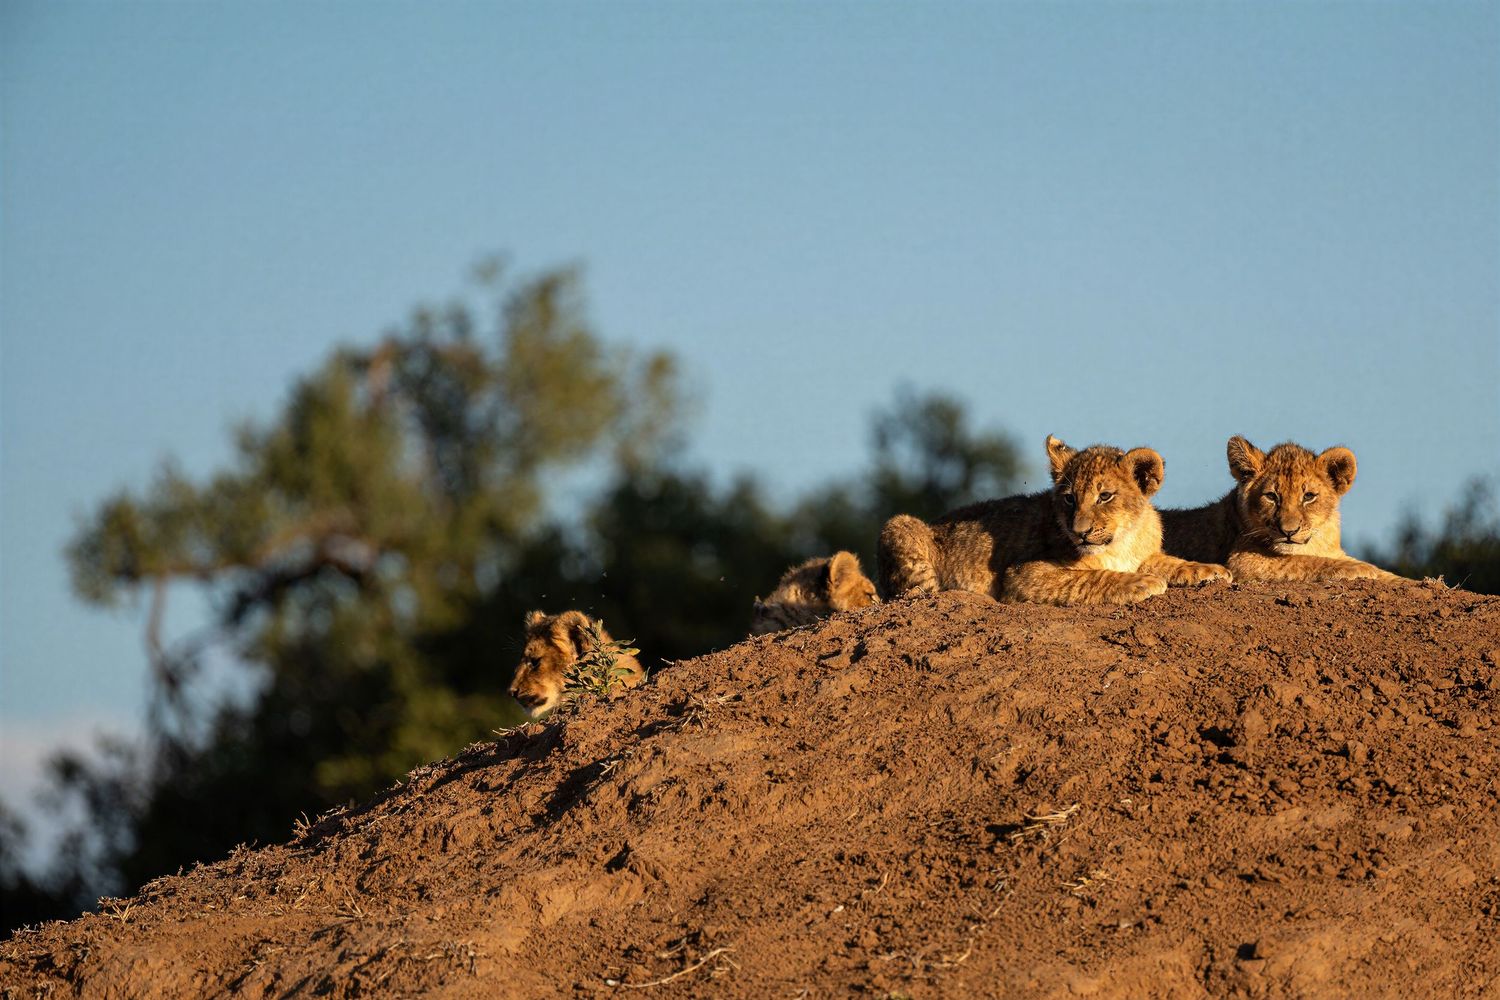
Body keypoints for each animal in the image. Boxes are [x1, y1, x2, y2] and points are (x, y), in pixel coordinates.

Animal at [877, 435, 1230, 606]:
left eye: (1105, 496)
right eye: (1069, 498)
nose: (1080, 532)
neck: (1121, 541)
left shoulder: (1144, 554)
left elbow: (1169, 561)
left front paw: (1209, 570)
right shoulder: (1022, 574)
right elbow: (1093, 577)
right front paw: (1141, 583)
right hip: (899, 525)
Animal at [1160, 436, 1402, 583]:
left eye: (1308, 496)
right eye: (1271, 496)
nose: (1289, 531)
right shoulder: (1243, 562)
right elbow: (1305, 561)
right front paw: (1360, 569)